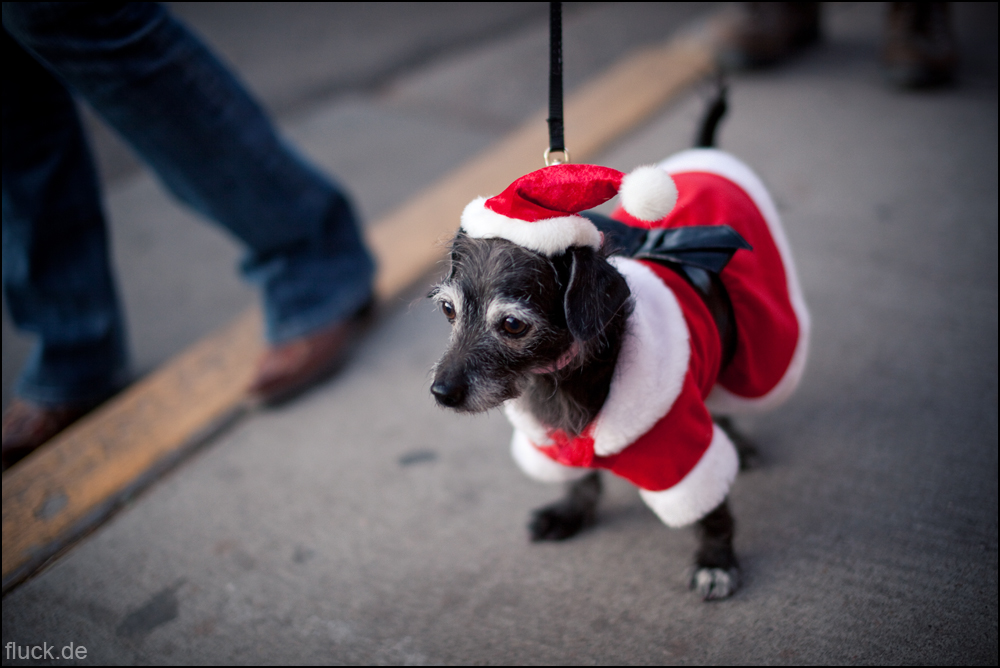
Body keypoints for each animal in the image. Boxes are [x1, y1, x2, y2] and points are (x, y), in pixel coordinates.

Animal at [426, 94, 808, 600]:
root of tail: (706, 155)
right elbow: (581, 479)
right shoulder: (560, 444)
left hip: (758, 346)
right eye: (449, 310)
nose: (441, 393)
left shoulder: (681, 452)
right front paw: (570, 512)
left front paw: (716, 560)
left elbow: (710, 506)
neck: (561, 380)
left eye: (511, 324)